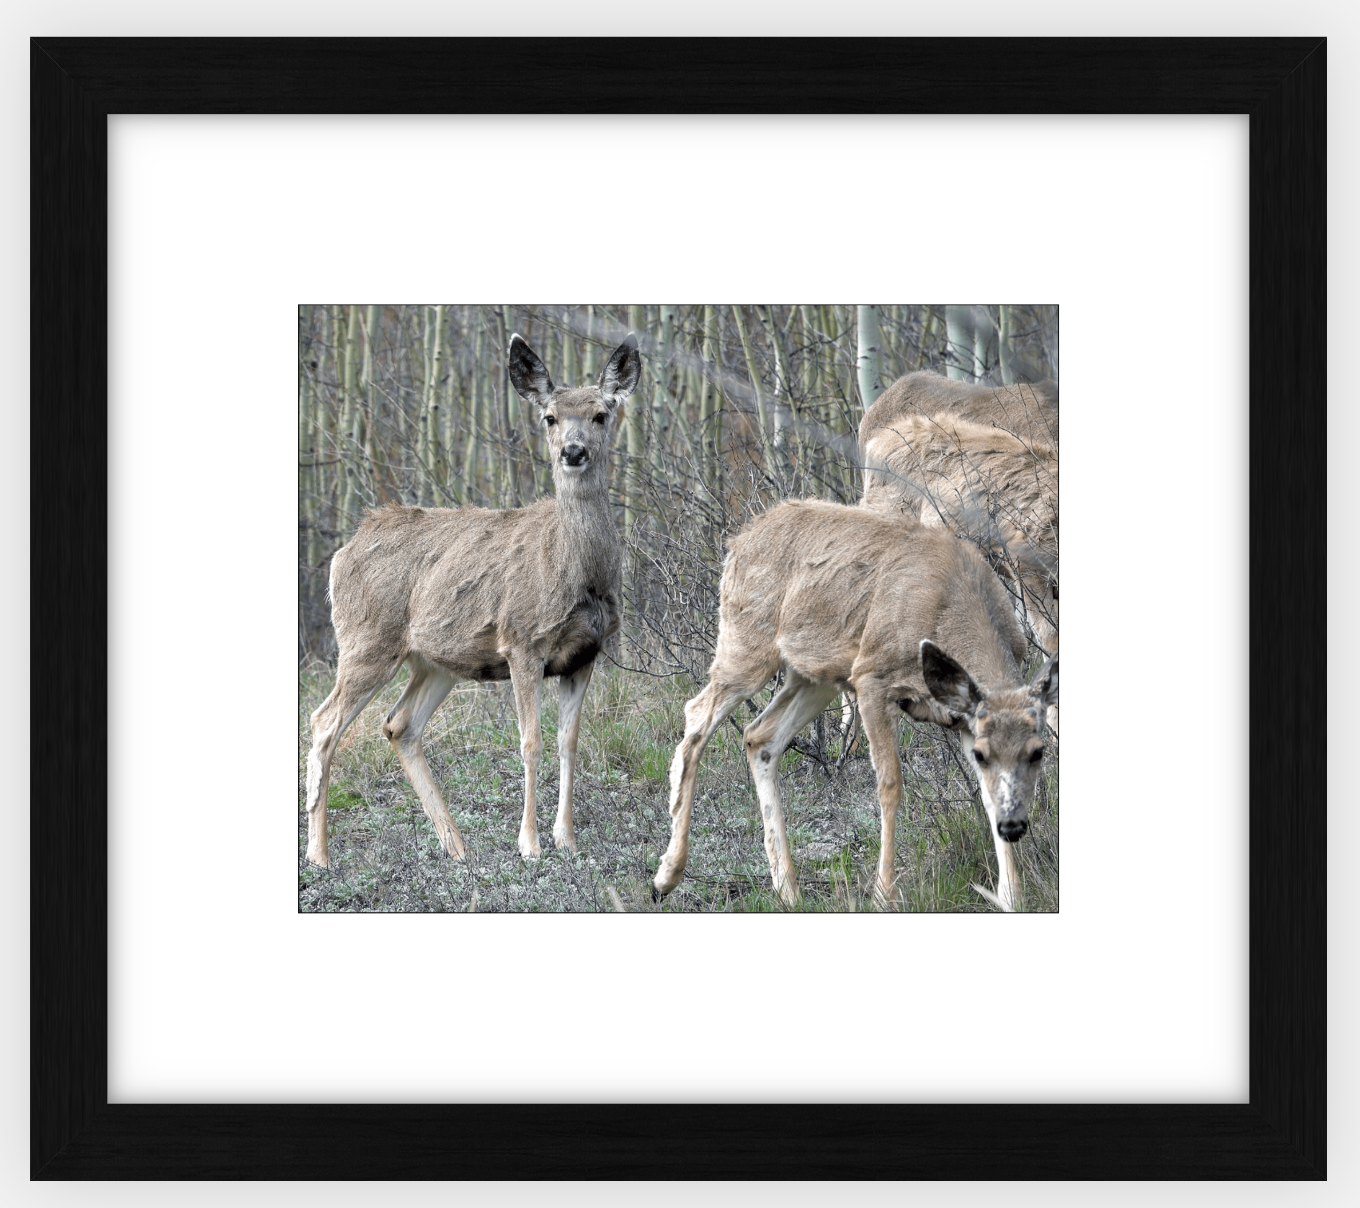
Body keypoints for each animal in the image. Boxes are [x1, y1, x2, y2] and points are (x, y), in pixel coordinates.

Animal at [304, 330, 641, 870]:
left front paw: (567, 839)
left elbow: (569, 741)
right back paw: (320, 854)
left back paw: (457, 846)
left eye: (600, 414)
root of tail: (343, 553)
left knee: (399, 725)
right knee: (323, 722)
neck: (576, 572)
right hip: (366, 641)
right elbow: (531, 741)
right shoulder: (523, 641)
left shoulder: (586, 653)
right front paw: (530, 845)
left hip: (434, 660)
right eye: (549, 417)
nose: (572, 452)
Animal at [652, 495, 1055, 908]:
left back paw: (788, 891)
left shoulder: (962, 715)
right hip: (747, 643)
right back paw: (666, 875)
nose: (1014, 826)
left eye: (1038, 751)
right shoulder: (872, 677)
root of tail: (738, 540)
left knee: (759, 735)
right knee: (696, 717)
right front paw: (883, 895)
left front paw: (1011, 896)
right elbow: (890, 785)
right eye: (982, 754)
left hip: (816, 674)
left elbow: (989, 795)